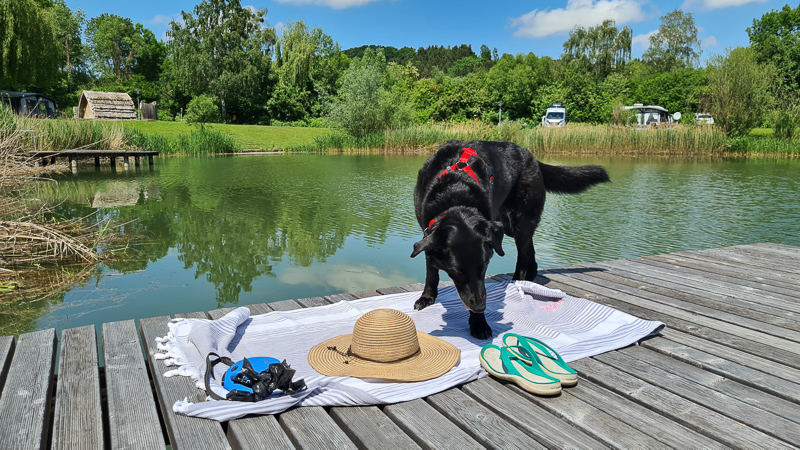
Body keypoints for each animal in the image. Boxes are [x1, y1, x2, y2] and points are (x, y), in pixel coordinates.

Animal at [412, 140, 608, 338]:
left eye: (484, 267)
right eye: (457, 272)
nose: (480, 306)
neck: (454, 194)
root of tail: (531, 156)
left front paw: (479, 323)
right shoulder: (427, 233)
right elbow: (431, 271)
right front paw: (427, 297)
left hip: (520, 221)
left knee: (523, 253)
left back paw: (517, 282)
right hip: (508, 224)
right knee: (529, 246)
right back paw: (531, 273)